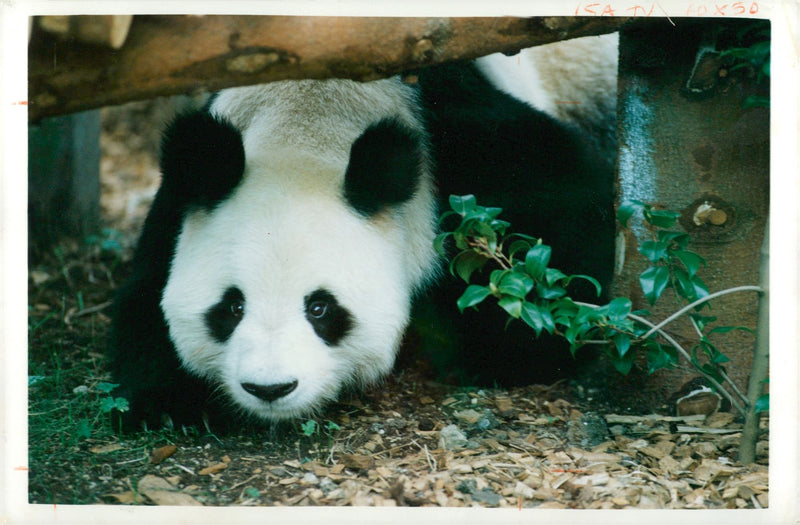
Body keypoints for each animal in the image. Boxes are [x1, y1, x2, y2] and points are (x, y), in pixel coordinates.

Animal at [109, 45, 616, 432]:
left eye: (320, 308)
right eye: (231, 307)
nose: (270, 388)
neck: (306, 128)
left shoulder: (456, 138)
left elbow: (567, 206)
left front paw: (503, 355)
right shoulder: (184, 195)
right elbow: (147, 288)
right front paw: (172, 402)